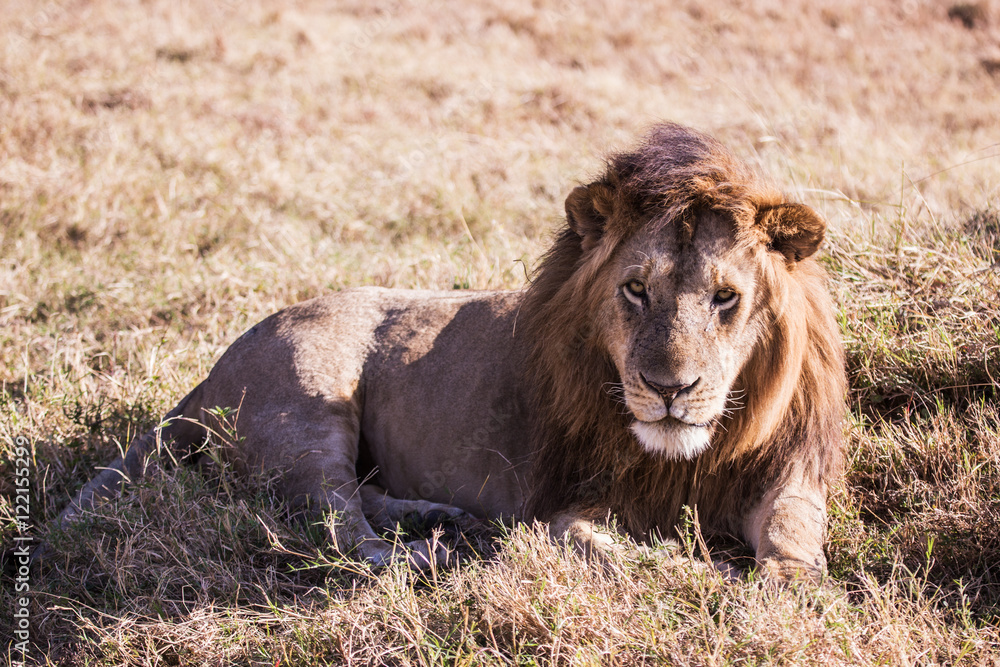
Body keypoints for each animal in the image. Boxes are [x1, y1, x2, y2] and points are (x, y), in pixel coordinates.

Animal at [53, 123, 845, 580]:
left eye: (725, 297)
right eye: (635, 290)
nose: (670, 388)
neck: (690, 454)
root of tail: (213, 366)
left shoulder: (787, 472)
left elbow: (792, 533)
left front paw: (785, 587)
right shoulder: (568, 503)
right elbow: (604, 547)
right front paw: (693, 574)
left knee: (363, 500)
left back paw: (446, 518)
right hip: (306, 411)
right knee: (339, 529)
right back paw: (433, 550)